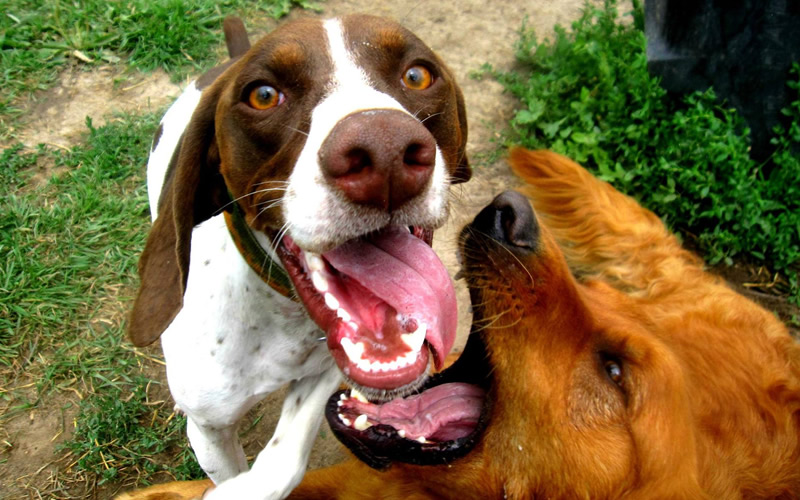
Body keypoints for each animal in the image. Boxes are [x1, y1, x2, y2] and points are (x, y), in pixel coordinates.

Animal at [126, 15, 468, 500]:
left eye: (417, 74)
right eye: (263, 95)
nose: (384, 150)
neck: (278, 309)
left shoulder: (326, 367)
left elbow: (281, 462)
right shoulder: (208, 429)